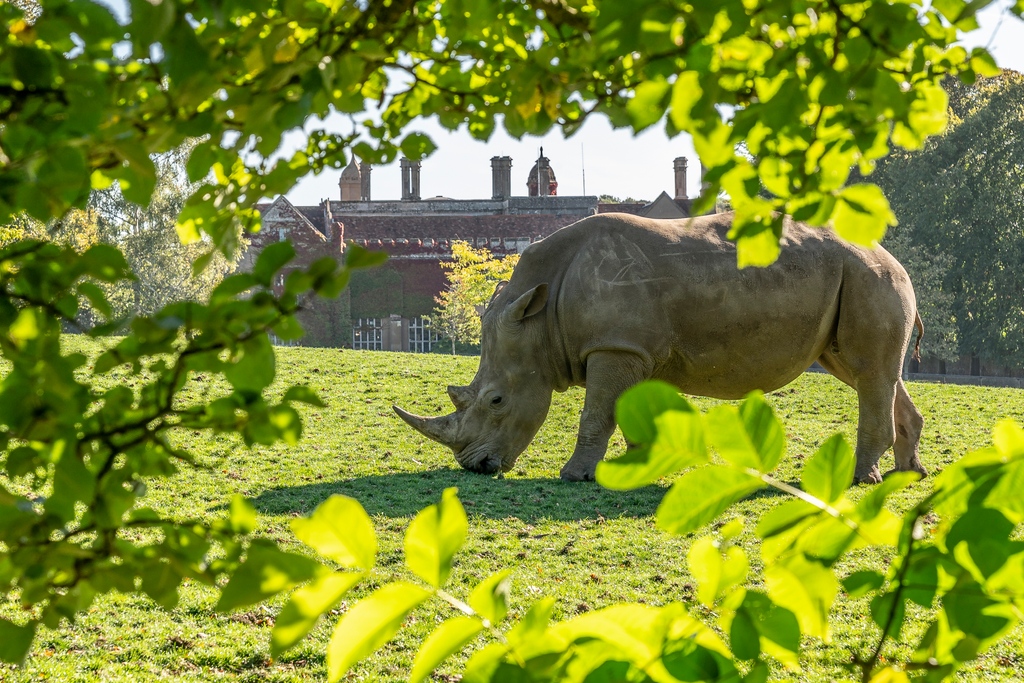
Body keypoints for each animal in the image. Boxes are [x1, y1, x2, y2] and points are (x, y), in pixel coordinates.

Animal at [397, 214, 929, 485]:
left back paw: (863, 481)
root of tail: (892, 257)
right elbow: (631, 414)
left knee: (870, 373)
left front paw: (575, 476)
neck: (540, 321)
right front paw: (639, 467)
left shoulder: (615, 347)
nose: (475, 467)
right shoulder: (637, 350)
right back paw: (907, 472)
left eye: (496, 400)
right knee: (871, 372)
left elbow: (597, 413)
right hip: (860, 280)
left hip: (869, 277)